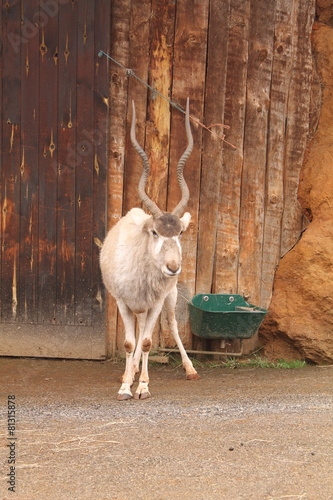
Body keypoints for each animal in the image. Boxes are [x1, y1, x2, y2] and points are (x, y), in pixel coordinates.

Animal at [100, 99, 198, 400]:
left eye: (179, 232)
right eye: (155, 232)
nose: (173, 267)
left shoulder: (155, 302)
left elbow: (145, 342)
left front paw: (142, 386)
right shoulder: (122, 302)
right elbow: (129, 344)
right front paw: (125, 387)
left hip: (168, 299)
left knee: (172, 327)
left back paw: (189, 369)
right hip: (136, 306)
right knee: (137, 333)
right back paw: (128, 374)